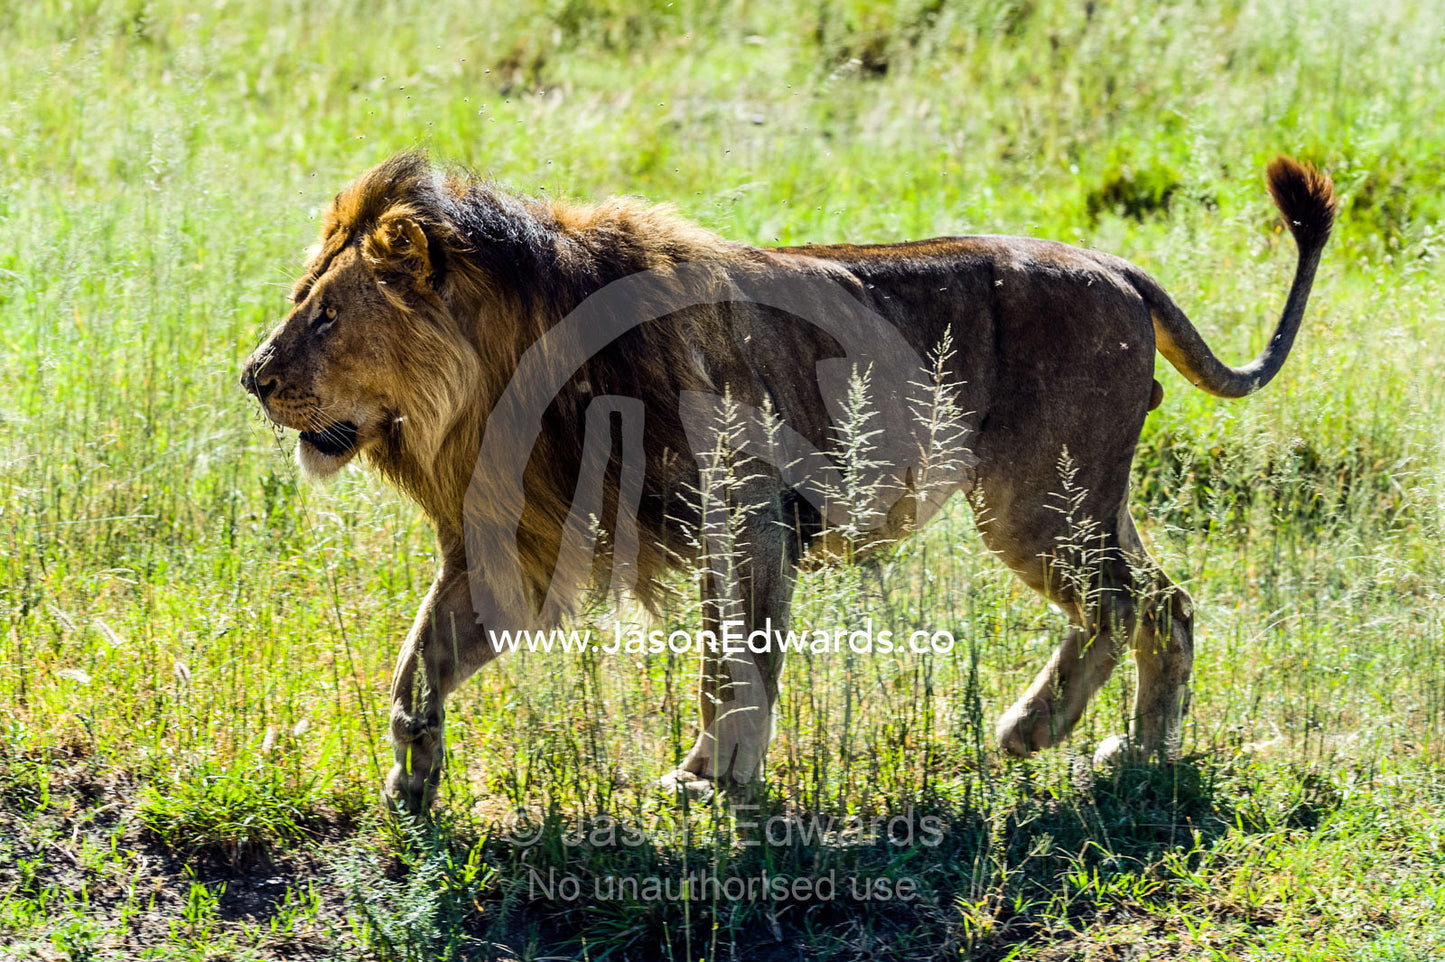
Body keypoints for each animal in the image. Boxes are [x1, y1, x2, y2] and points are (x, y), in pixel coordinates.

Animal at [241, 152, 1334, 812]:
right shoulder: (520, 545)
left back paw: (1069, 739)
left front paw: (709, 782)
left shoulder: (747, 509)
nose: (252, 375)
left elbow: (734, 665)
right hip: (1078, 500)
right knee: (1153, 602)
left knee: (1135, 606)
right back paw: (1107, 747)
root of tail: (1115, 265)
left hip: (1035, 502)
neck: (491, 386)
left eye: (327, 316)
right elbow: (417, 665)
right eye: (299, 299)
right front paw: (410, 787)